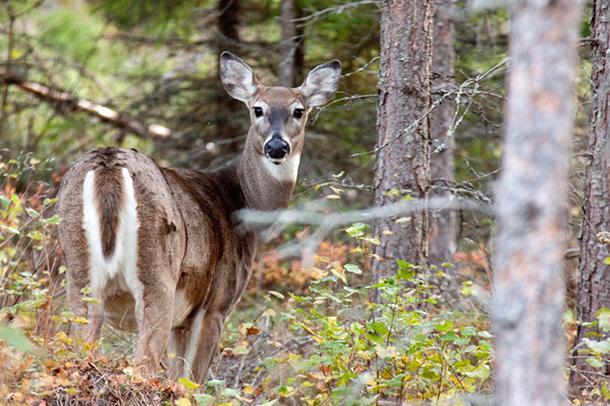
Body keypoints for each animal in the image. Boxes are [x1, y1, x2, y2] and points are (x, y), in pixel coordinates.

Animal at [56, 51, 340, 384]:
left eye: (299, 110)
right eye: (257, 109)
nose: (276, 146)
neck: (243, 202)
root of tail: (109, 165)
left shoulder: (182, 319)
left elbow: (176, 373)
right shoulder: (216, 305)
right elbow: (192, 380)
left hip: (79, 274)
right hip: (157, 275)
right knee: (143, 365)